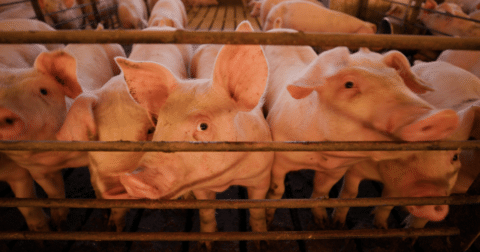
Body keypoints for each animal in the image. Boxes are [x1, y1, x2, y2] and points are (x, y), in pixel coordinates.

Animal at [0, 42, 125, 228]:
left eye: (44, 91)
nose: (3, 112)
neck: (57, 156)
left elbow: (99, 183)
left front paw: (110, 221)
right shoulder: (36, 170)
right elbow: (54, 193)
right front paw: (58, 223)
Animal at [105, 21, 272, 250]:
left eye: (203, 126)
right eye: (159, 123)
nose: (133, 178)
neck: (225, 179)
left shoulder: (262, 175)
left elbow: (257, 210)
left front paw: (261, 243)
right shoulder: (200, 187)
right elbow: (207, 213)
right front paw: (205, 245)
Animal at [262, 34, 462, 228]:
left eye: (398, 79)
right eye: (349, 84)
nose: (443, 117)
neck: (322, 156)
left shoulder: (337, 169)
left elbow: (320, 192)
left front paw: (323, 223)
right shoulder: (279, 159)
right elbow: (277, 190)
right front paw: (269, 220)